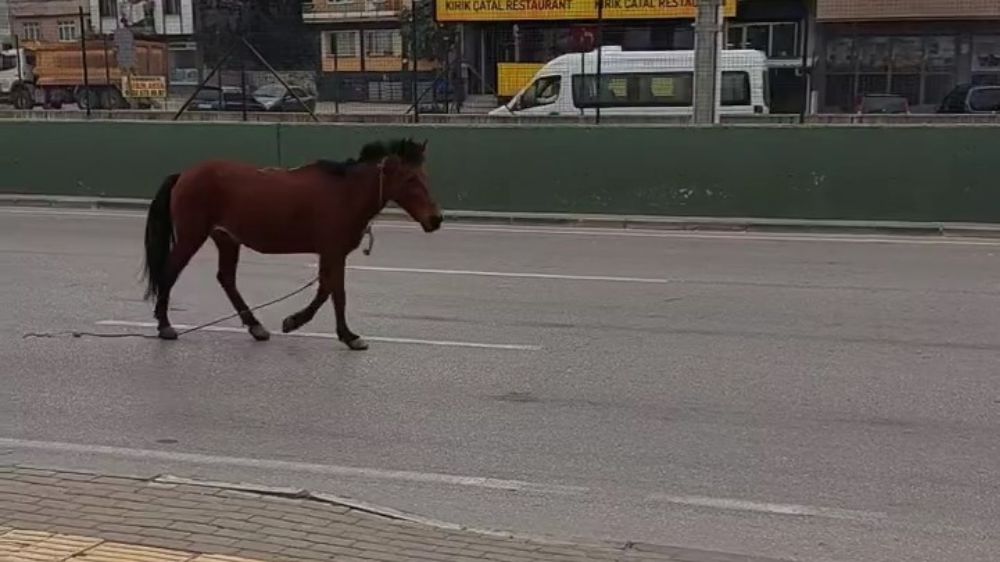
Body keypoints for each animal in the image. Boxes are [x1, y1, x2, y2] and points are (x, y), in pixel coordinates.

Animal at [141, 138, 442, 348]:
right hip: (192, 235)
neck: (345, 192)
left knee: (226, 279)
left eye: (425, 176)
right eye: (410, 179)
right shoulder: (333, 251)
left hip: (226, 239)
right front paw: (346, 335)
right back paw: (165, 326)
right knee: (169, 272)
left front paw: (298, 322)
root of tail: (184, 174)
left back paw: (255, 326)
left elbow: (326, 290)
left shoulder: (331, 253)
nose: (435, 219)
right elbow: (336, 293)